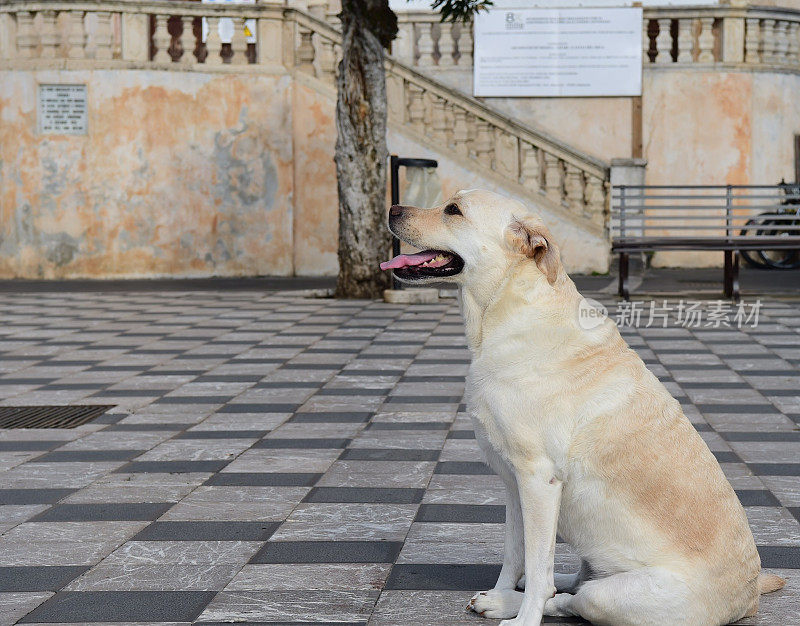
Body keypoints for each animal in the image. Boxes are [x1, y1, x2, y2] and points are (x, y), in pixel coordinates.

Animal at [378, 189, 784, 624]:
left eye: (453, 210)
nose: (392, 208)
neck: (507, 308)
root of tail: (750, 596)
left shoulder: (538, 480)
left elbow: (537, 572)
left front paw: (523, 620)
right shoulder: (512, 483)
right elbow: (514, 556)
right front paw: (503, 592)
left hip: (613, 596)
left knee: (571, 596)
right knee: (569, 581)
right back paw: (505, 599)